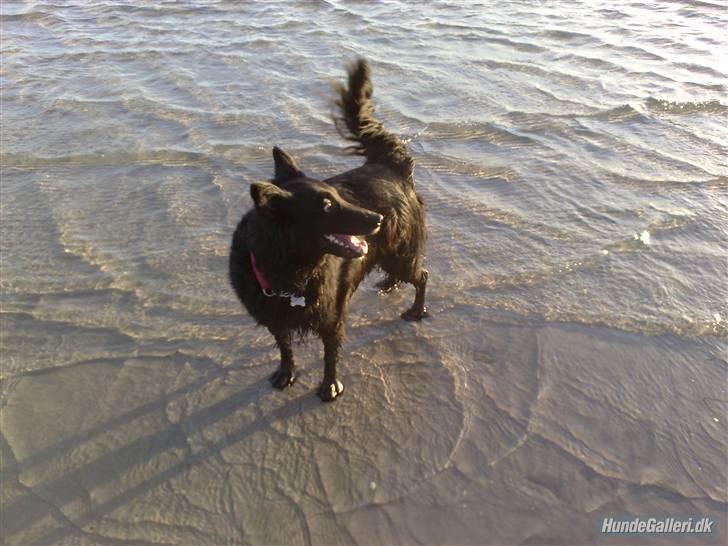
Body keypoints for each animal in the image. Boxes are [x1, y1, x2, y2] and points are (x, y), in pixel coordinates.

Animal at [229, 59, 426, 400]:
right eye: (328, 207)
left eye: (337, 197)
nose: (378, 219)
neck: (289, 272)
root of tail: (392, 166)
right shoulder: (274, 318)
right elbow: (284, 347)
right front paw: (286, 373)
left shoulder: (331, 314)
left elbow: (329, 354)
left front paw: (330, 386)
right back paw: (389, 284)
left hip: (402, 253)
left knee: (422, 276)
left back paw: (417, 310)